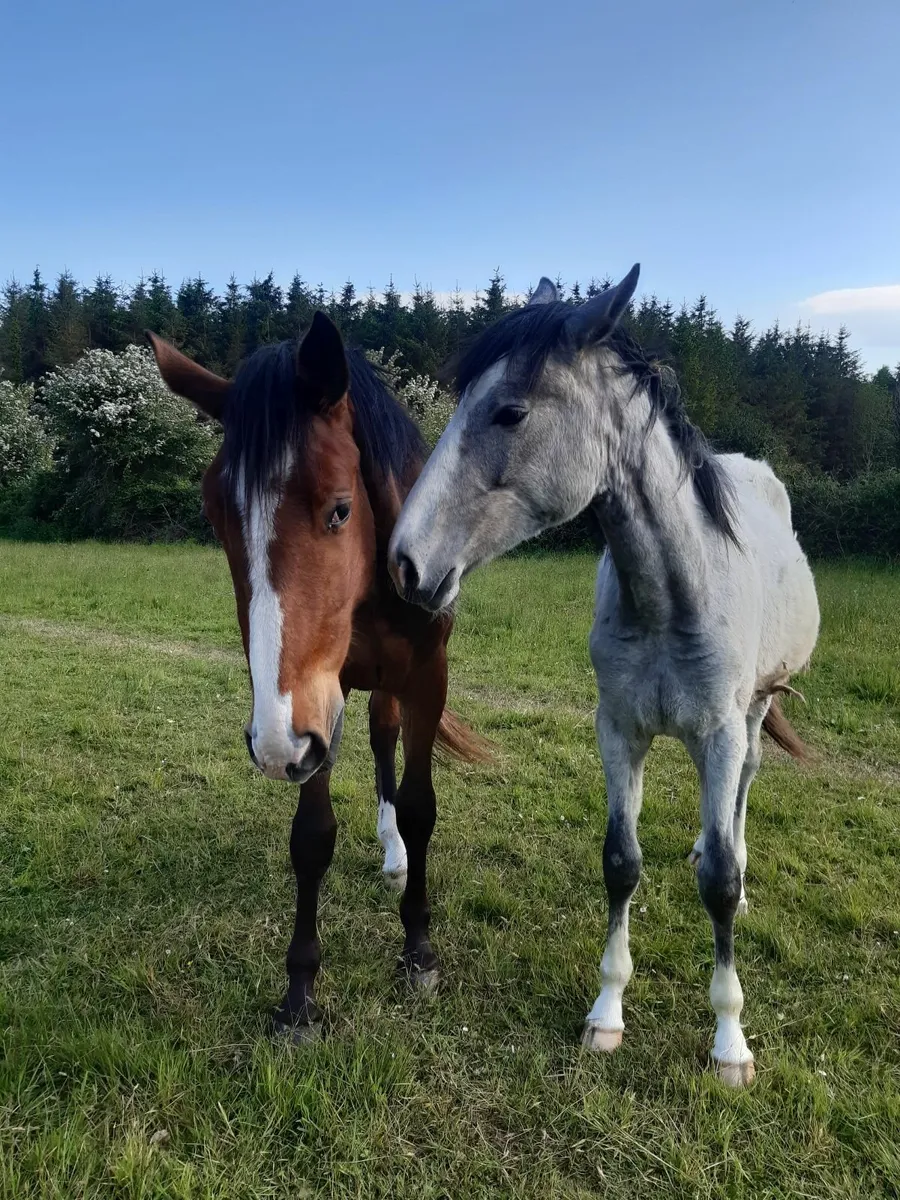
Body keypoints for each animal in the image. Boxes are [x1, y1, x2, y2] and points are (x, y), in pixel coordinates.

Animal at [147, 313, 489, 1041]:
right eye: (215, 514)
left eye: (339, 509)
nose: (274, 744)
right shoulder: (313, 710)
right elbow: (312, 837)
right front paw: (300, 990)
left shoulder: (425, 679)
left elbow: (421, 807)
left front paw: (419, 951)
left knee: (387, 739)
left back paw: (395, 856)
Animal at [388, 266, 820, 1086]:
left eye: (511, 411)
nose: (404, 563)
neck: (672, 590)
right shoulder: (618, 729)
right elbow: (621, 863)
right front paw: (607, 1012)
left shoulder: (718, 729)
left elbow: (719, 884)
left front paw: (729, 1043)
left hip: (748, 715)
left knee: (745, 784)